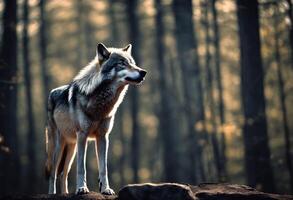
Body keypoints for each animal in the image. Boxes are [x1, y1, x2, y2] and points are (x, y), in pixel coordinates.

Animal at [44, 43, 146, 195]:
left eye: (133, 63)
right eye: (122, 63)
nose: (143, 72)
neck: (101, 104)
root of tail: (51, 93)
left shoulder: (103, 137)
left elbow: (104, 169)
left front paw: (106, 189)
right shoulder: (83, 136)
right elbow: (82, 168)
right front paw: (82, 188)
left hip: (71, 148)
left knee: (63, 173)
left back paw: (66, 193)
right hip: (58, 147)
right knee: (53, 173)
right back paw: (53, 194)